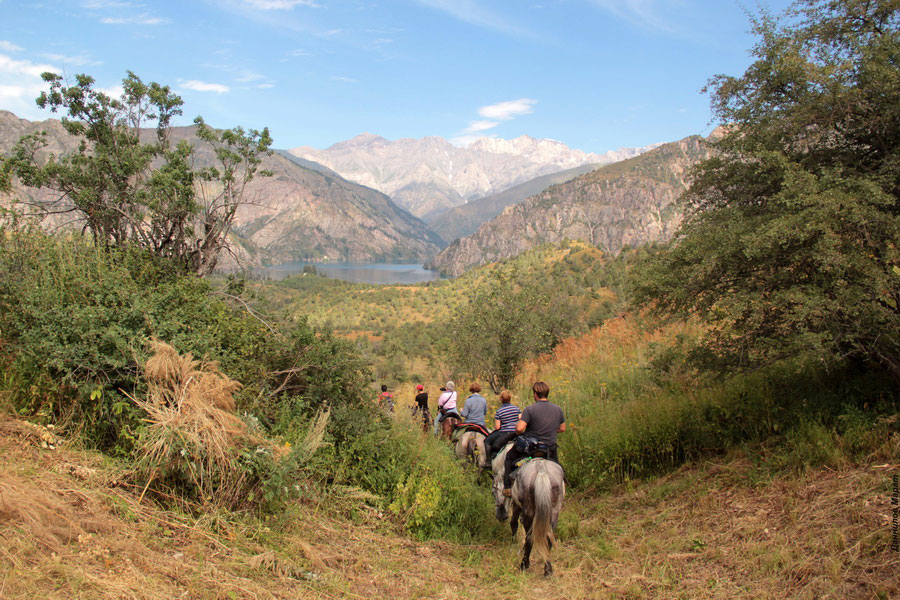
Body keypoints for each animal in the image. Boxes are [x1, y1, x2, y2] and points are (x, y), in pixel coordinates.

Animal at [492, 448, 564, 576]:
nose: (500, 516)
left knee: (529, 537)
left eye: (493, 493)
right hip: (554, 511)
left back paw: (524, 564)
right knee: (549, 536)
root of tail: (541, 469)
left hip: (529, 512)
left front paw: (513, 542)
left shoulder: (517, 506)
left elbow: (514, 523)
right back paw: (548, 568)